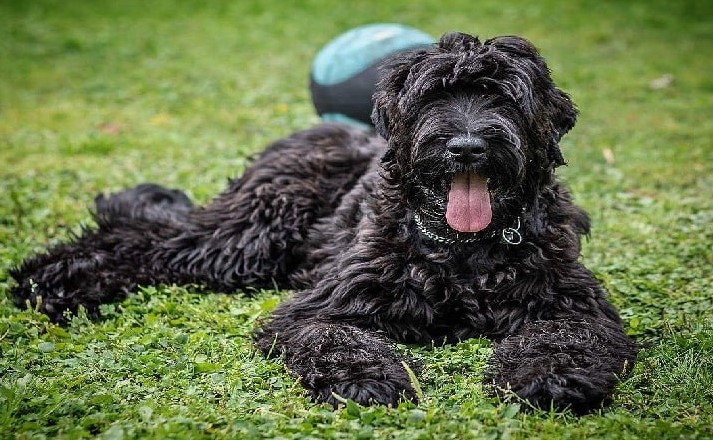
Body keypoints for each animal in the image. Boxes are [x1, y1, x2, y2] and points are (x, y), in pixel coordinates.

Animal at [9, 32, 636, 414]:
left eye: (503, 97)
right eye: (433, 97)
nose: (466, 146)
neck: (462, 251)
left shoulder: (572, 303)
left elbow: (567, 336)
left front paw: (551, 377)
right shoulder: (324, 304)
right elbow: (332, 336)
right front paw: (366, 379)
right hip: (248, 236)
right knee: (149, 239)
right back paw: (49, 279)